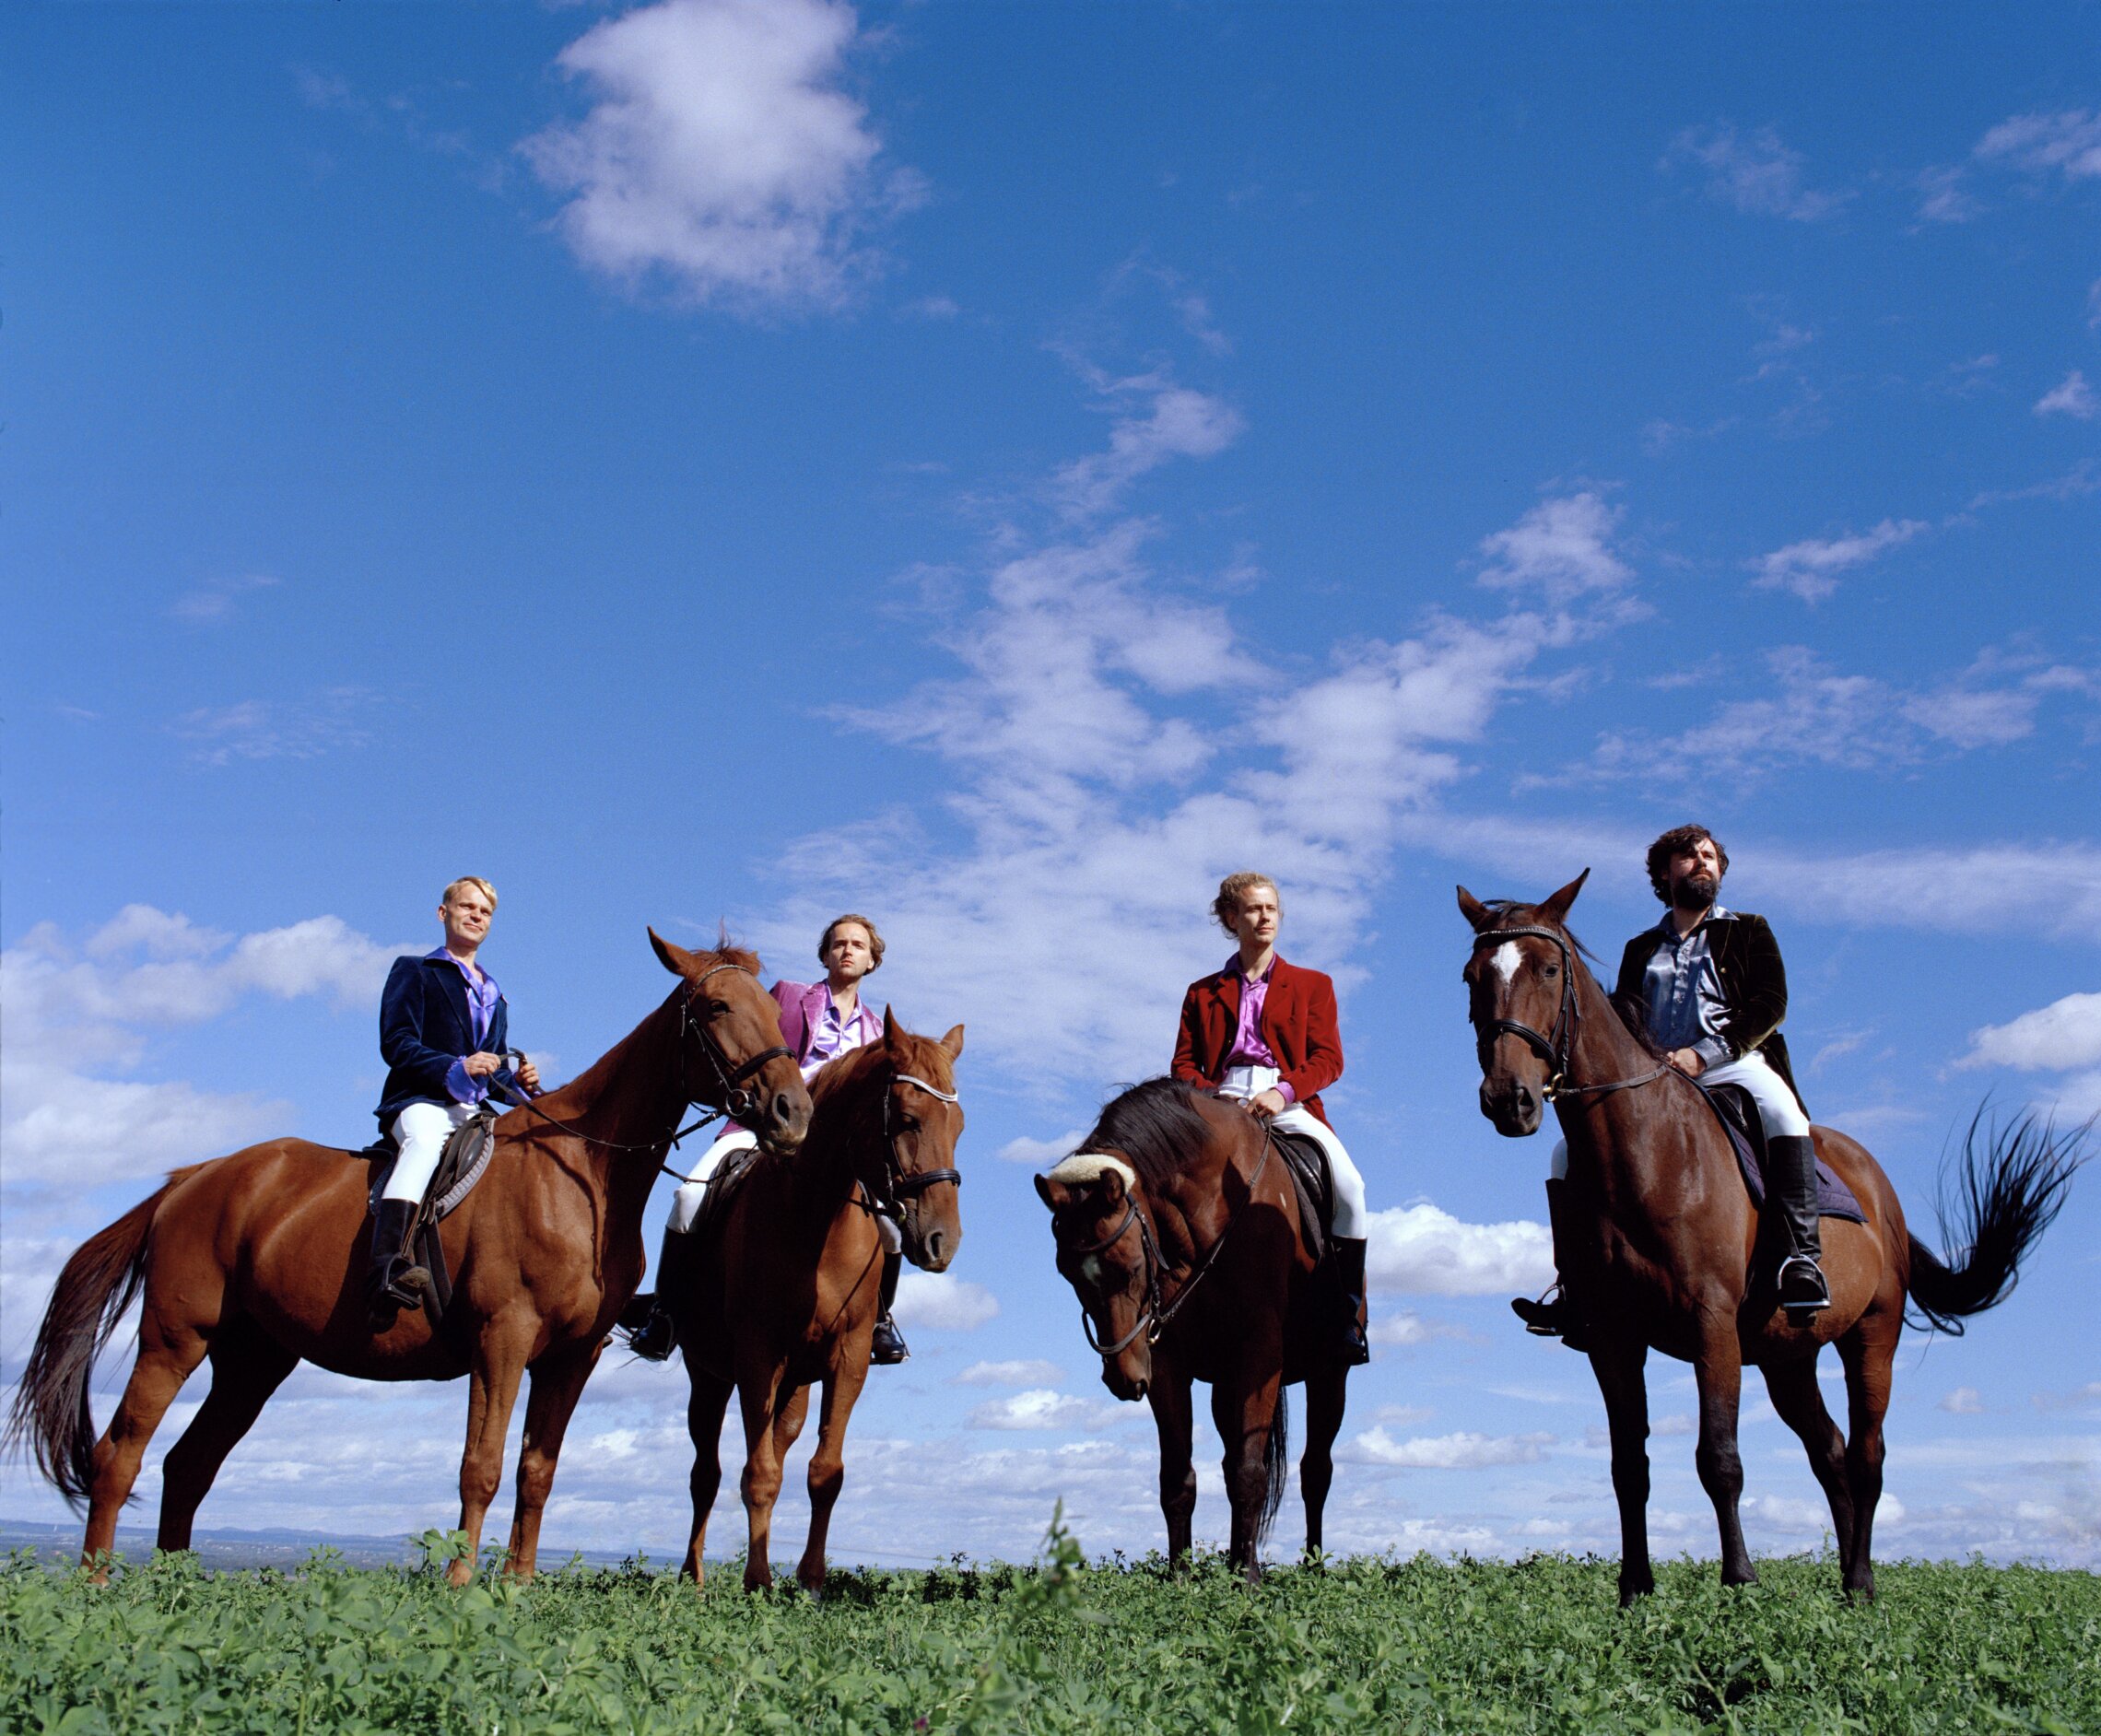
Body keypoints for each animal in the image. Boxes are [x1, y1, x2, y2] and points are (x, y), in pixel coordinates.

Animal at [6, 933, 811, 1580]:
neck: (584, 1174)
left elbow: (537, 1473)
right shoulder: (502, 1340)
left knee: (189, 1465)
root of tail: (189, 1179)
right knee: (121, 1456)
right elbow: (481, 1469)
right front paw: (462, 1589)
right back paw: (99, 1587)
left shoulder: (570, 1357)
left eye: (775, 1015)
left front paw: (518, 1588)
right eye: (716, 1007)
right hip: (176, 1340)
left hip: (253, 1359)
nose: (791, 1112)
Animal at [668, 1008, 962, 1589]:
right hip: (708, 1375)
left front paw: (810, 1580)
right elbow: (757, 1474)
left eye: (958, 1126)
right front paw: (758, 1581)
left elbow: (824, 1472)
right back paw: (694, 1575)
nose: (944, 1242)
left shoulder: (848, 1360)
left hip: (795, 1386)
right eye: (908, 1120)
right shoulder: (758, 1356)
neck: (814, 1220)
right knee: (706, 1473)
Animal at [1029, 1075, 1353, 1572]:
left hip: (1329, 1372)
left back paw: (1311, 1566)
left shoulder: (1260, 1354)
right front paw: (1180, 1575)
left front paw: (1248, 1580)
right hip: (1224, 1383)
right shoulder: (1166, 1363)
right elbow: (1178, 1479)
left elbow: (1250, 1472)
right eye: (1067, 1273)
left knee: (1315, 1471)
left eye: (1130, 1266)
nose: (1122, 1377)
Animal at [1461, 874, 2083, 1605]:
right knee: (1831, 1453)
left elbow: (1719, 1458)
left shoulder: (1711, 1325)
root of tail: (1878, 1187)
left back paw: (1863, 1583)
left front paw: (1739, 1581)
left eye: (1549, 970)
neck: (1644, 1151)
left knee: (1867, 1454)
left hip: (1871, 1336)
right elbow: (1629, 1465)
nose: (1509, 1099)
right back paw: (1845, 1582)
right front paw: (1635, 1591)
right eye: (1473, 976)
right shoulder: (1613, 1336)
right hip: (1789, 1359)